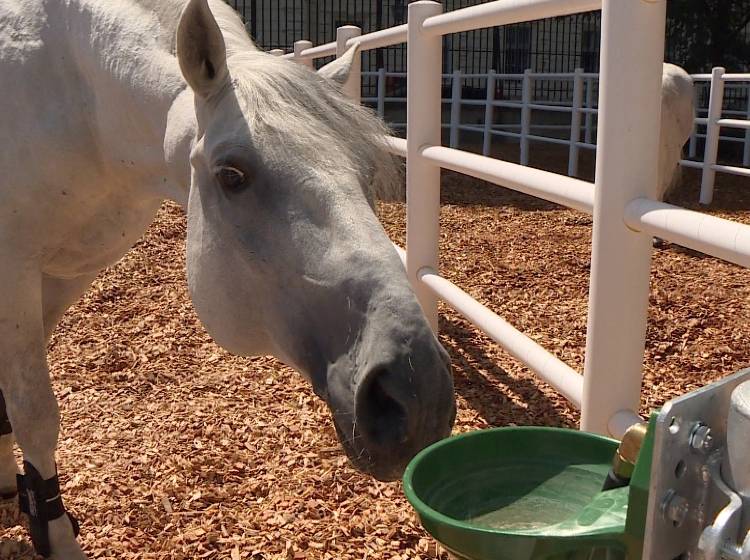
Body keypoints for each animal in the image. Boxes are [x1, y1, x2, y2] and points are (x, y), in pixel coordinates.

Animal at [0, 2, 458, 556]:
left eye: (366, 172)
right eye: (232, 176)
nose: (418, 391)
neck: (72, 91)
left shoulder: (65, 273)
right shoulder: (15, 272)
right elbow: (35, 414)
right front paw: (55, 533)